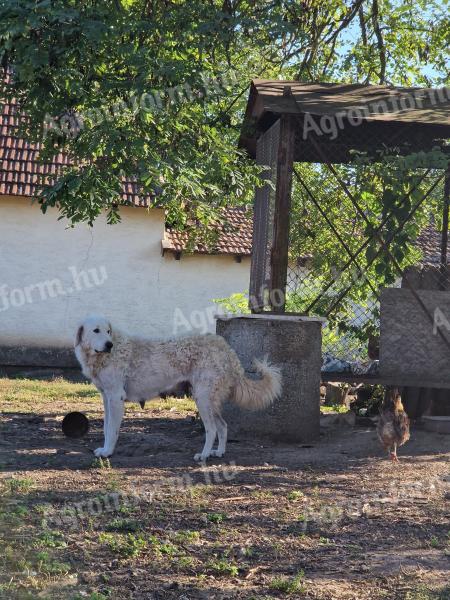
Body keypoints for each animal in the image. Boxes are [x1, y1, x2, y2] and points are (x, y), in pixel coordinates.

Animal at [76, 316, 282, 462]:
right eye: (96, 330)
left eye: (108, 331)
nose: (109, 344)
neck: (103, 357)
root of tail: (226, 349)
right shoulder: (106, 398)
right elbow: (105, 428)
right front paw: (103, 449)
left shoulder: (116, 398)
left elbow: (112, 430)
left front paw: (108, 452)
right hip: (211, 400)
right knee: (222, 426)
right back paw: (219, 452)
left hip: (203, 399)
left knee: (212, 429)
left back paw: (204, 455)